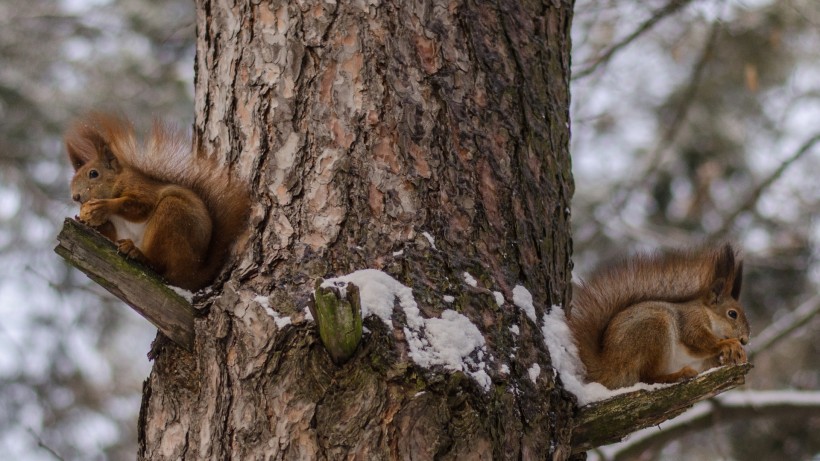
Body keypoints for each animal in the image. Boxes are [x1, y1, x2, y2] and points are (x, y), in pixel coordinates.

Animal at [66, 113, 250, 290]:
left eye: (93, 174)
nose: (75, 197)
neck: (117, 182)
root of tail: (193, 275)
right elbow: (109, 232)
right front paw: (83, 219)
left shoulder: (141, 188)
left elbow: (141, 206)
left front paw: (103, 206)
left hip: (172, 215)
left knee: (160, 266)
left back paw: (139, 254)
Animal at [572, 243, 748, 390]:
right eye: (732, 314)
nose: (745, 340)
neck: (708, 314)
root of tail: (608, 366)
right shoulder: (691, 319)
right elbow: (699, 339)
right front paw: (728, 344)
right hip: (654, 330)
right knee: (648, 377)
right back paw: (680, 374)